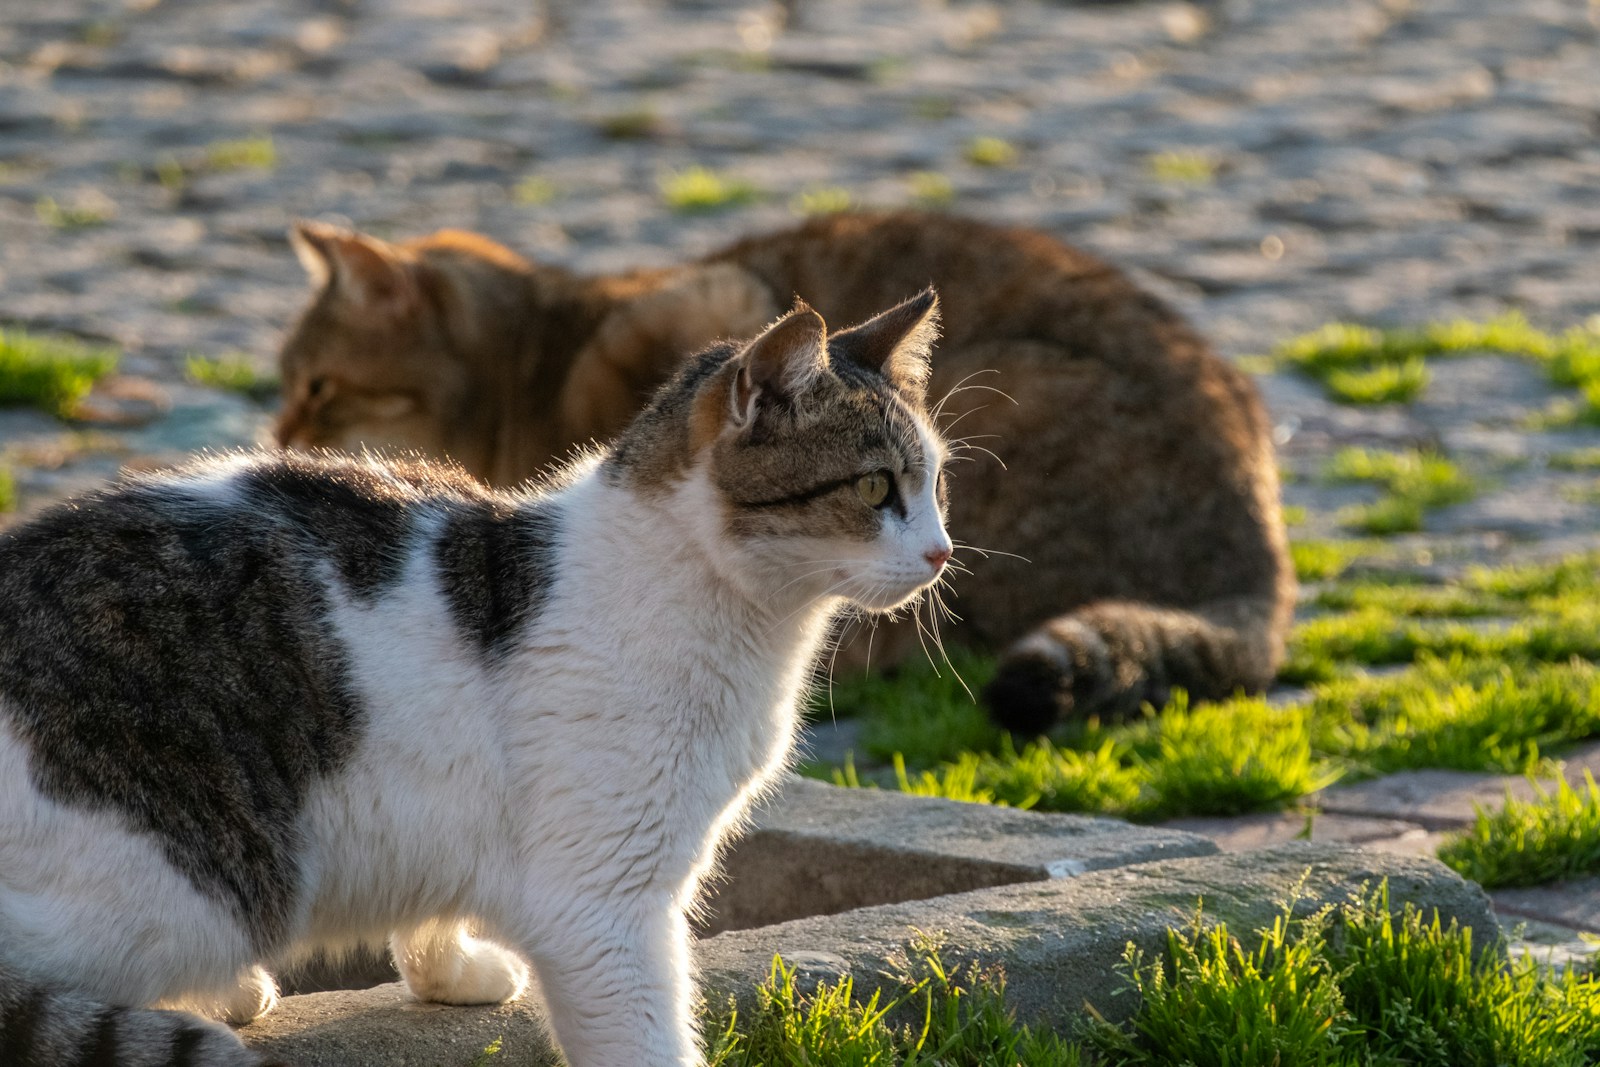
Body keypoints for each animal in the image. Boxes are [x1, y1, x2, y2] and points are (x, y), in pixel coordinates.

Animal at [0, 294, 947, 1067]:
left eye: (938, 482)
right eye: (876, 487)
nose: (943, 552)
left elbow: (434, 899)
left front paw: (449, 967)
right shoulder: (602, 905)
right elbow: (648, 1036)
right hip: (198, 892)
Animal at [278, 214, 1299, 739]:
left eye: (316, 386)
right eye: (290, 383)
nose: (277, 427)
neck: (538, 353)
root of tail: (1267, 562)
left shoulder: (716, 305)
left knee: (917, 640)